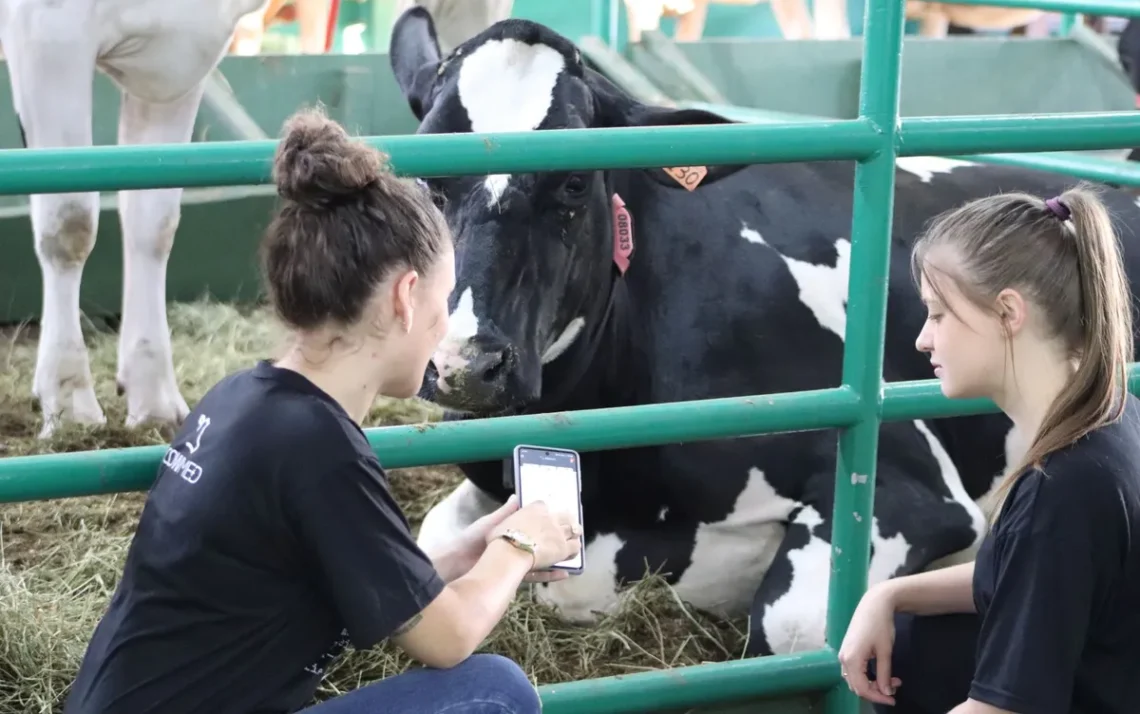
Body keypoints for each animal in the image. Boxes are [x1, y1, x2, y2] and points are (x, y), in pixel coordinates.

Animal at [387, 9, 1140, 656]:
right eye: (425, 178)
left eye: (573, 184)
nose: (465, 364)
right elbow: (438, 538)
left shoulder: (915, 488)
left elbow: (794, 626)